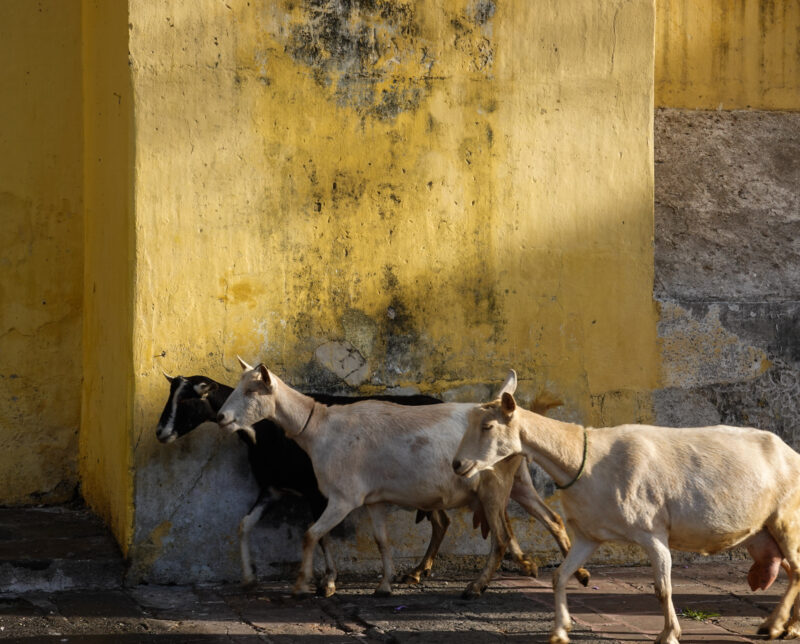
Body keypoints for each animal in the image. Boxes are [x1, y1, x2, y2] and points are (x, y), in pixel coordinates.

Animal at [217, 362, 588, 600]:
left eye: (251, 390)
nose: (221, 417)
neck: (319, 427)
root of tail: (505, 407)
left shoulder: (342, 497)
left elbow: (312, 535)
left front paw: (303, 585)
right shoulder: (374, 499)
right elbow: (382, 541)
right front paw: (384, 586)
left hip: (492, 485)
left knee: (500, 538)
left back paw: (476, 587)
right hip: (519, 480)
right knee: (551, 518)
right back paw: (577, 572)